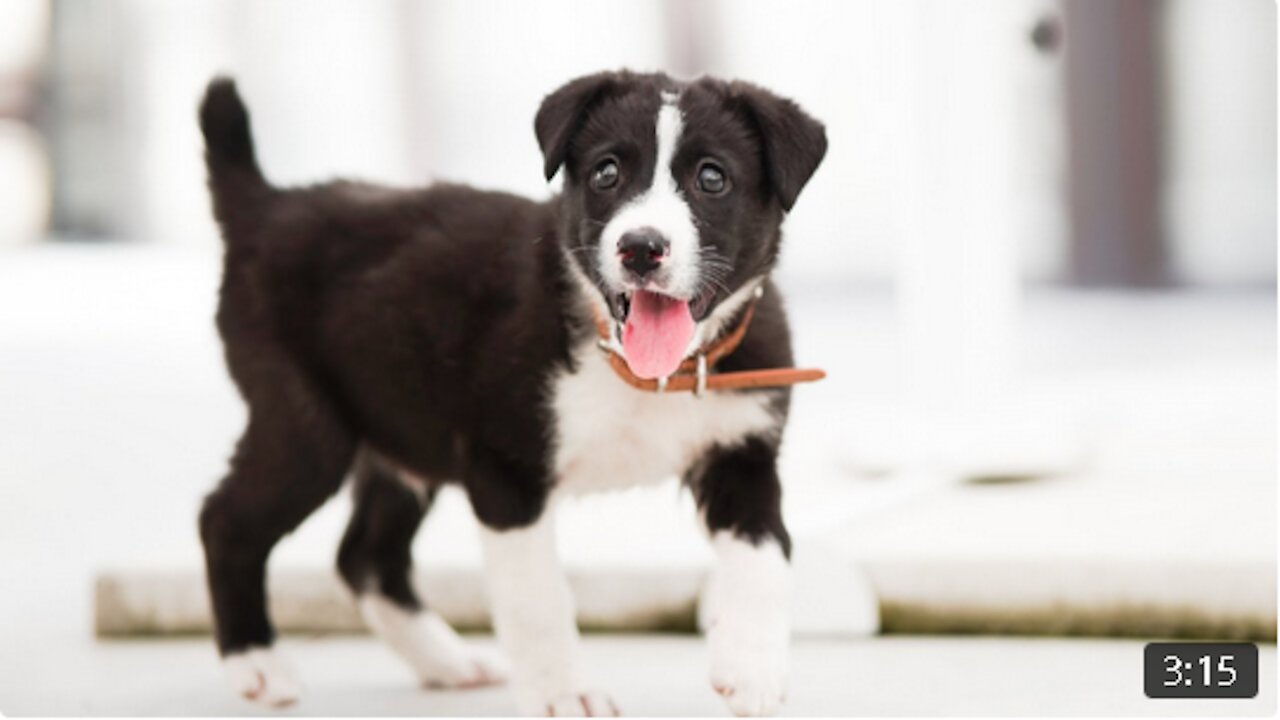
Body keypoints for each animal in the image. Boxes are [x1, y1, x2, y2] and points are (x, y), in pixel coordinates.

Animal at [194, 68, 824, 712]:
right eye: (606, 172)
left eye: (712, 178)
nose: (641, 247)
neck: (647, 373)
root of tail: (267, 205)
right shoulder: (505, 468)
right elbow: (536, 597)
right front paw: (565, 694)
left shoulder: (742, 453)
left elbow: (765, 557)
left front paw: (751, 669)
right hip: (305, 425)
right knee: (225, 519)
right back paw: (257, 663)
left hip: (405, 426)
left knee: (364, 554)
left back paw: (447, 661)